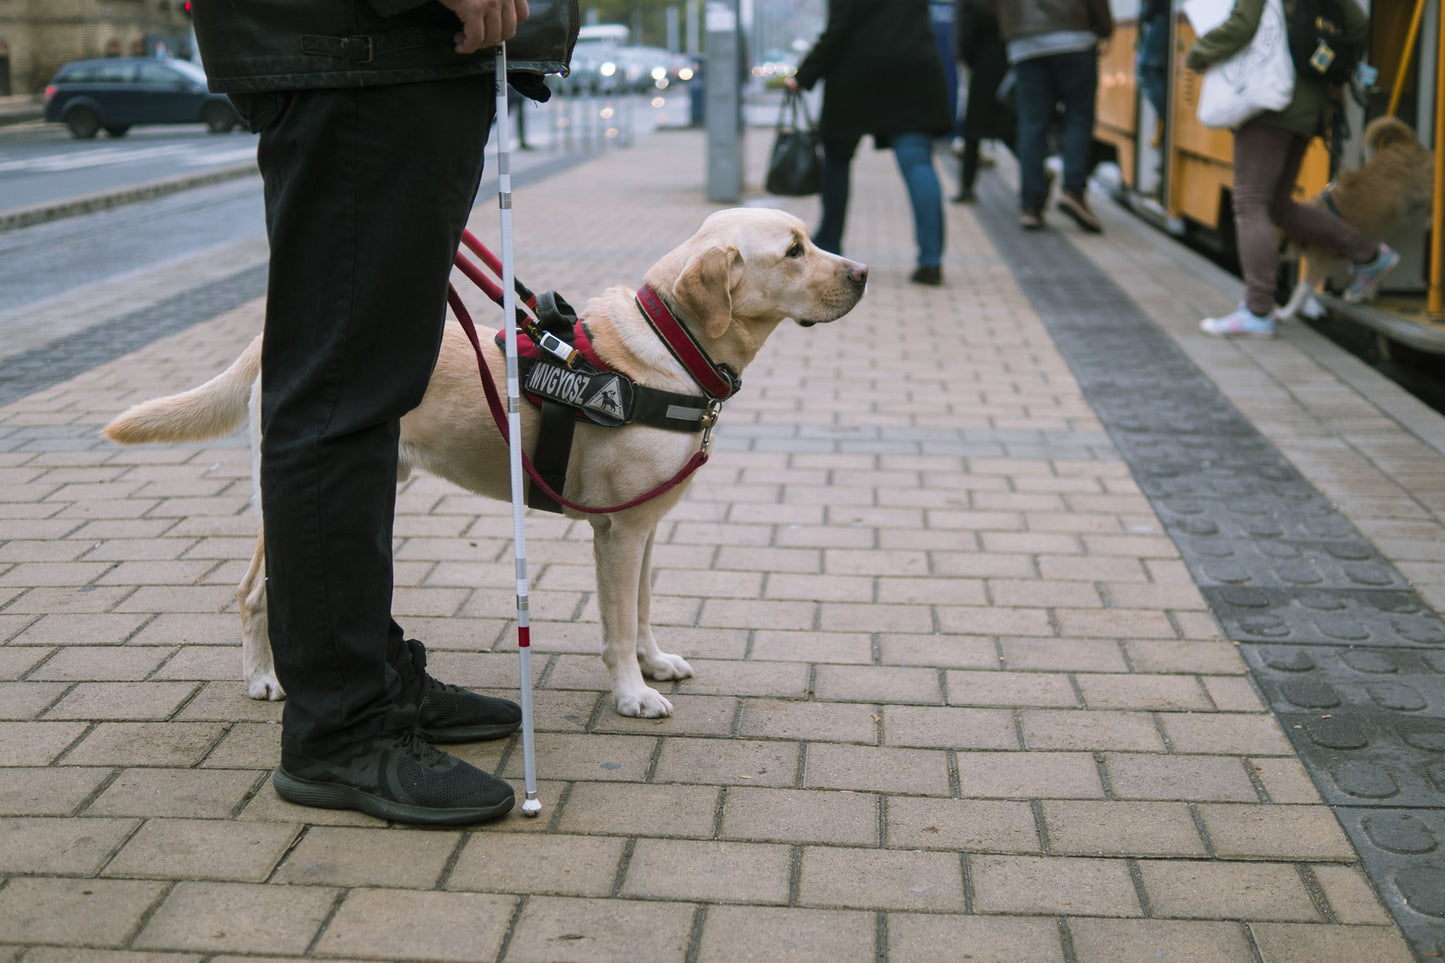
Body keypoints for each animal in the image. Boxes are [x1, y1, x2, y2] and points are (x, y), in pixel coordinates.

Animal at [104, 212, 867, 720]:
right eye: (794, 250)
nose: (862, 273)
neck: (671, 347)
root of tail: (270, 340)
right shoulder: (616, 534)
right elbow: (618, 624)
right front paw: (630, 692)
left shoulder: (644, 526)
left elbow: (644, 609)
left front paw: (655, 664)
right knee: (252, 592)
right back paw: (265, 678)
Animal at [1277, 116, 1433, 318]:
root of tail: (1408, 142)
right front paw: (1365, 290)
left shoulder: (1318, 263)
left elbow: (1301, 292)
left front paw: (1285, 313)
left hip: (1424, 187)